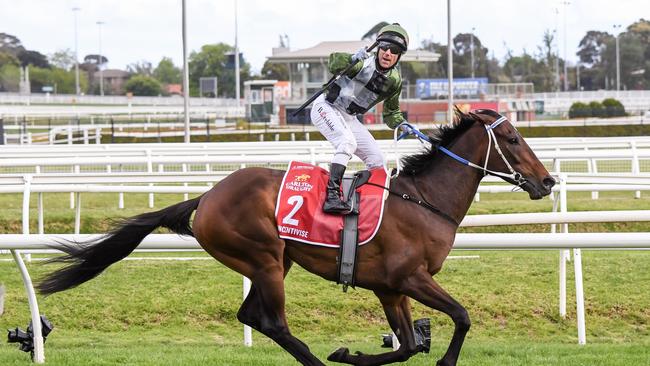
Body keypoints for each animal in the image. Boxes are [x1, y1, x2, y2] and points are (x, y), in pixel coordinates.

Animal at [36, 109, 552, 366]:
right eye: (512, 139)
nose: (547, 182)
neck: (423, 200)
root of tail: (206, 196)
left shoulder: (390, 288)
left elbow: (406, 345)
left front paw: (350, 353)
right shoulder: (411, 279)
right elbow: (461, 317)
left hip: (274, 261)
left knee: (253, 316)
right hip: (263, 257)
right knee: (273, 322)